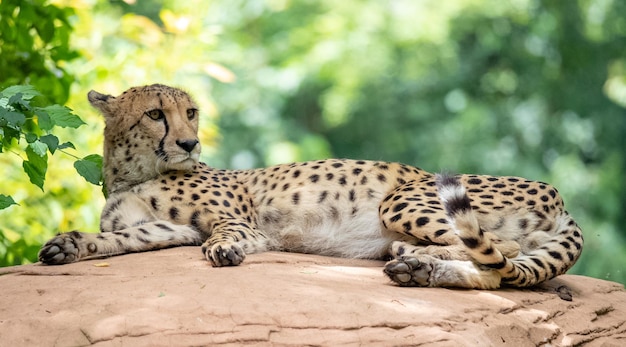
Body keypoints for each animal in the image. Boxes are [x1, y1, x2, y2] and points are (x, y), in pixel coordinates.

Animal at [39, 85, 584, 290]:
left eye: (190, 112)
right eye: (156, 114)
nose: (190, 142)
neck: (138, 172)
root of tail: (557, 193)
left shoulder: (240, 221)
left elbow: (225, 235)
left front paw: (224, 252)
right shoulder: (164, 230)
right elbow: (112, 239)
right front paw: (66, 247)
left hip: (401, 196)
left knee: (504, 253)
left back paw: (414, 258)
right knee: (501, 269)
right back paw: (416, 266)